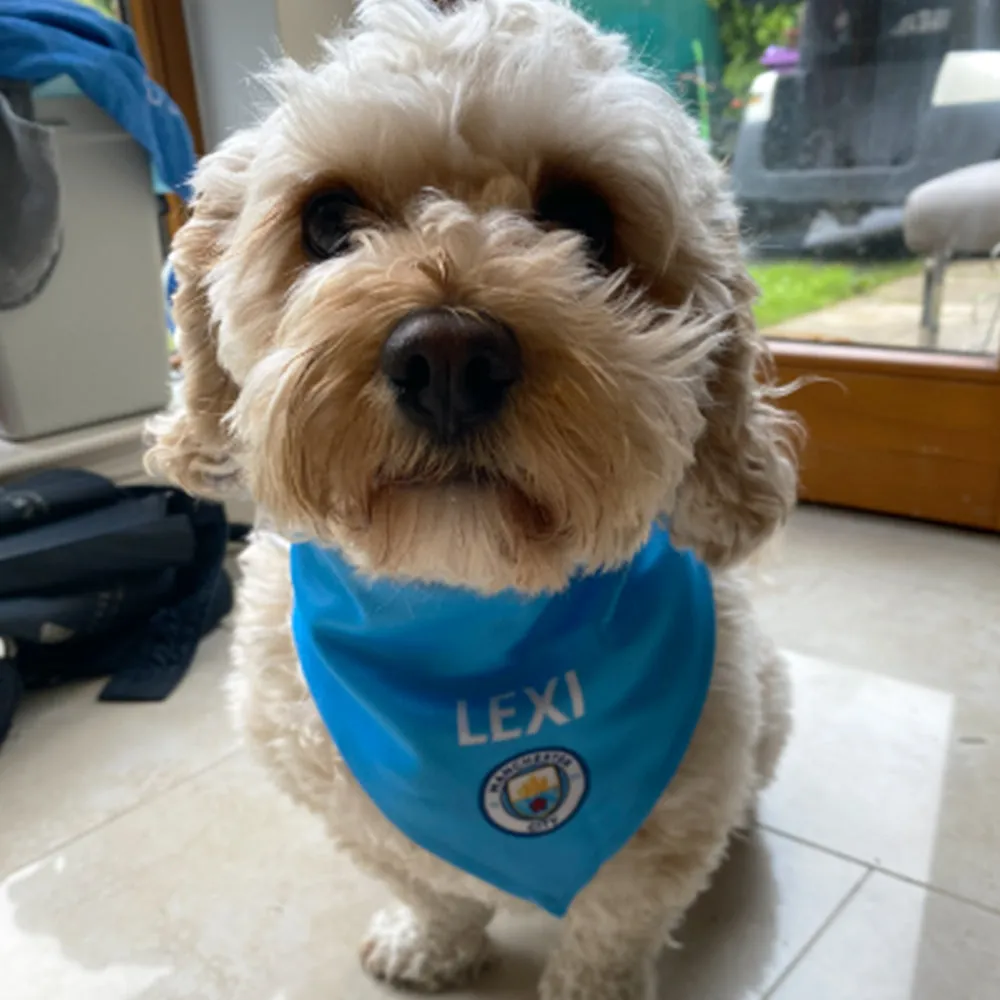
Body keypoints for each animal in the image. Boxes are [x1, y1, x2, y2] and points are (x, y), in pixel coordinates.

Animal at [148, 3, 800, 996]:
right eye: (327, 219)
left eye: (584, 216)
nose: (447, 357)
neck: (465, 602)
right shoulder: (343, 795)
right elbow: (427, 882)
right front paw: (434, 939)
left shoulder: (675, 819)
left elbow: (615, 921)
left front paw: (591, 985)